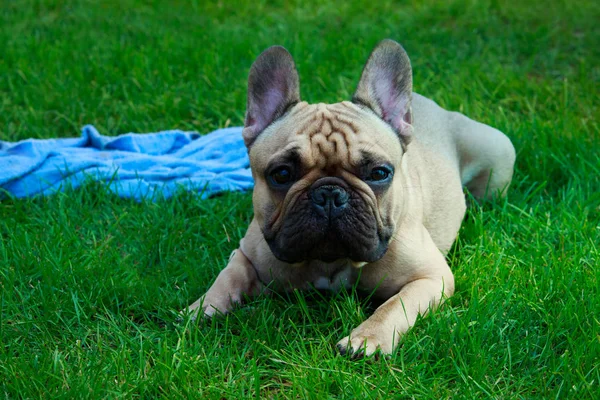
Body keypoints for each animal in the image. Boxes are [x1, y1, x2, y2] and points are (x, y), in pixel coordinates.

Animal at [184, 38, 516, 356]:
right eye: (281, 174)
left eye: (379, 173)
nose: (330, 194)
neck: (330, 262)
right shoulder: (246, 253)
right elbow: (228, 276)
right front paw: (202, 308)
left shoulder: (430, 278)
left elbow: (395, 305)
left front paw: (367, 338)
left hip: (498, 156)